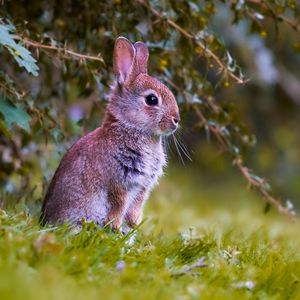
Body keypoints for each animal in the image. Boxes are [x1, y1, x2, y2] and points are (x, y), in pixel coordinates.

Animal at [40, 35, 179, 232]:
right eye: (152, 99)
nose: (177, 119)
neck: (131, 127)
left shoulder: (142, 188)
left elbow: (135, 207)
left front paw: (132, 225)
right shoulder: (119, 183)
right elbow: (119, 205)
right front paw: (116, 226)